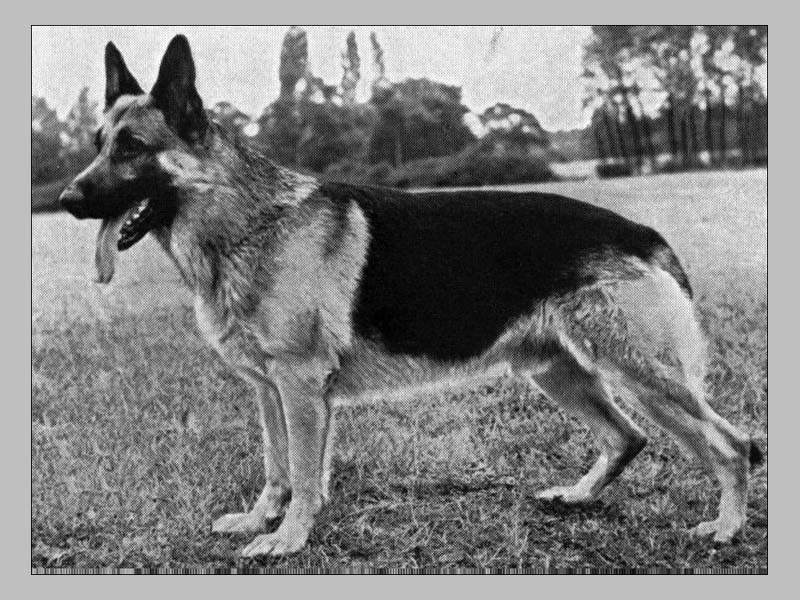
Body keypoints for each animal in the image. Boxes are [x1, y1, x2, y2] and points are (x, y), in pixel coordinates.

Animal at [59, 35, 762, 557]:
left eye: (133, 148)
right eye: (97, 146)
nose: (65, 199)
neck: (247, 220)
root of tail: (645, 232)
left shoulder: (299, 387)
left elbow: (305, 476)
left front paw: (287, 540)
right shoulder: (268, 390)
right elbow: (276, 467)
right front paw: (263, 519)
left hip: (643, 374)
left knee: (733, 445)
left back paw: (726, 528)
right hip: (556, 373)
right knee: (628, 438)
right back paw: (579, 496)